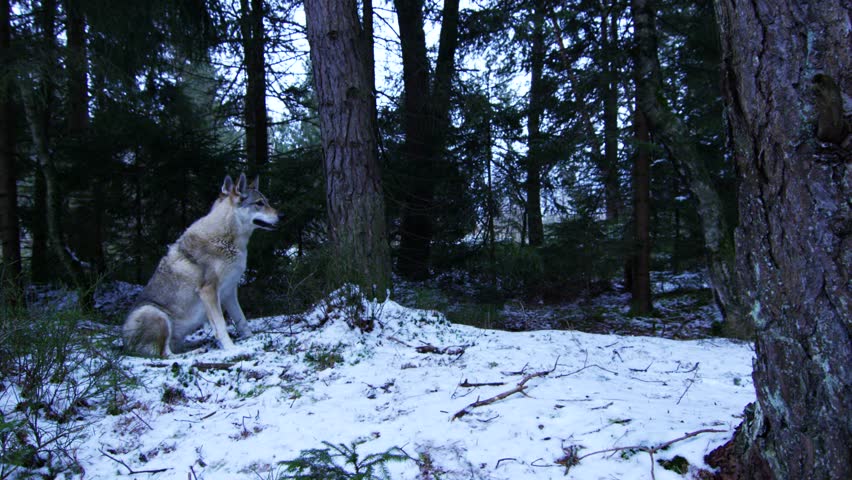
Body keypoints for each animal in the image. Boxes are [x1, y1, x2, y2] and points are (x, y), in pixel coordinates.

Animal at [123, 173, 281, 357]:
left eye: (267, 201)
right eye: (259, 203)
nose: (282, 215)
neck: (228, 240)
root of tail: (123, 343)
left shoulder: (229, 292)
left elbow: (241, 320)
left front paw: (251, 340)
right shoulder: (209, 291)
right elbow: (221, 326)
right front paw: (233, 349)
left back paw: (197, 345)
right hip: (156, 314)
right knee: (166, 355)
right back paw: (196, 351)